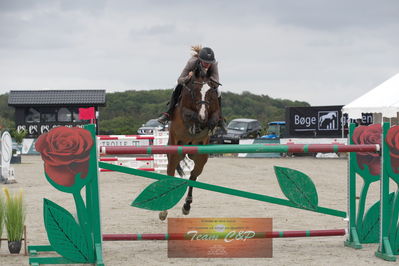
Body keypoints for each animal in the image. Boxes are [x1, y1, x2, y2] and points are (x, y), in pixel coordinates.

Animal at [159, 70, 222, 220]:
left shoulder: (214, 111)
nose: (203, 116)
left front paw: (208, 125)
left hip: (200, 158)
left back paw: (187, 206)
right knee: (170, 173)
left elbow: (213, 118)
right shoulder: (184, 111)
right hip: (174, 153)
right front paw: (197, 123)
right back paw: (164, 211)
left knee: (193, 175)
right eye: (195, 91)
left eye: (210, 93)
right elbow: (190, 115)